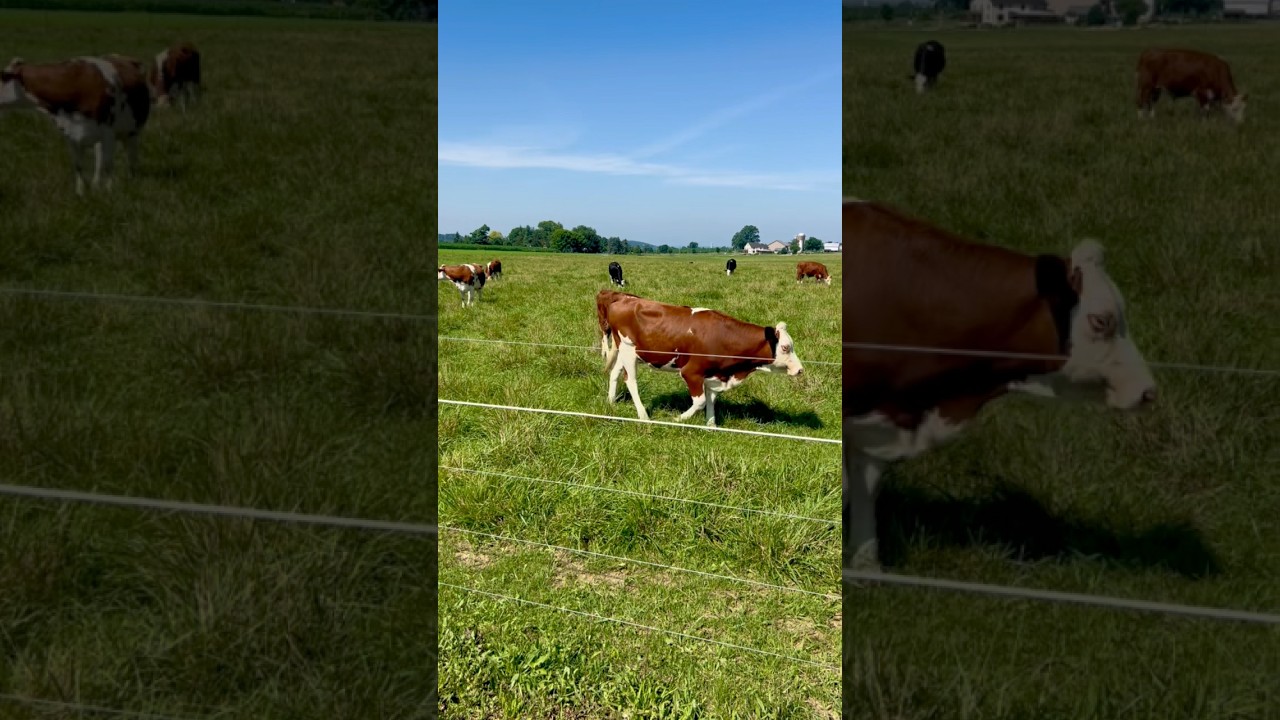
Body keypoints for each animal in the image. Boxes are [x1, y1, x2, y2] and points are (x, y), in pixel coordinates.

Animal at [0, 54, 151, 196]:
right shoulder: (71, 134)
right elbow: (79, 165)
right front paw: (80, 192)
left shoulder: (108, 132)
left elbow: (109, 164)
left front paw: (110, 191)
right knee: (99, 159)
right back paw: (96, 184)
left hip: (132, 132)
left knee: (131, 158)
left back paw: (131, 181)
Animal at [596, 290, 804, 427]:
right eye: (785, 347)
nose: (800, 369)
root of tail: (623, 297)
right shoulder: (691, 372)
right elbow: (701, 401)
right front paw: (678, 419)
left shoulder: (714, 374)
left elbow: (712, 399)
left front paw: (711, 426)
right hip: (629, 350)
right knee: (630, 380)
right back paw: (643, 416)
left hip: (624, 351)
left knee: (614, 373)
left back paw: (611, 402)